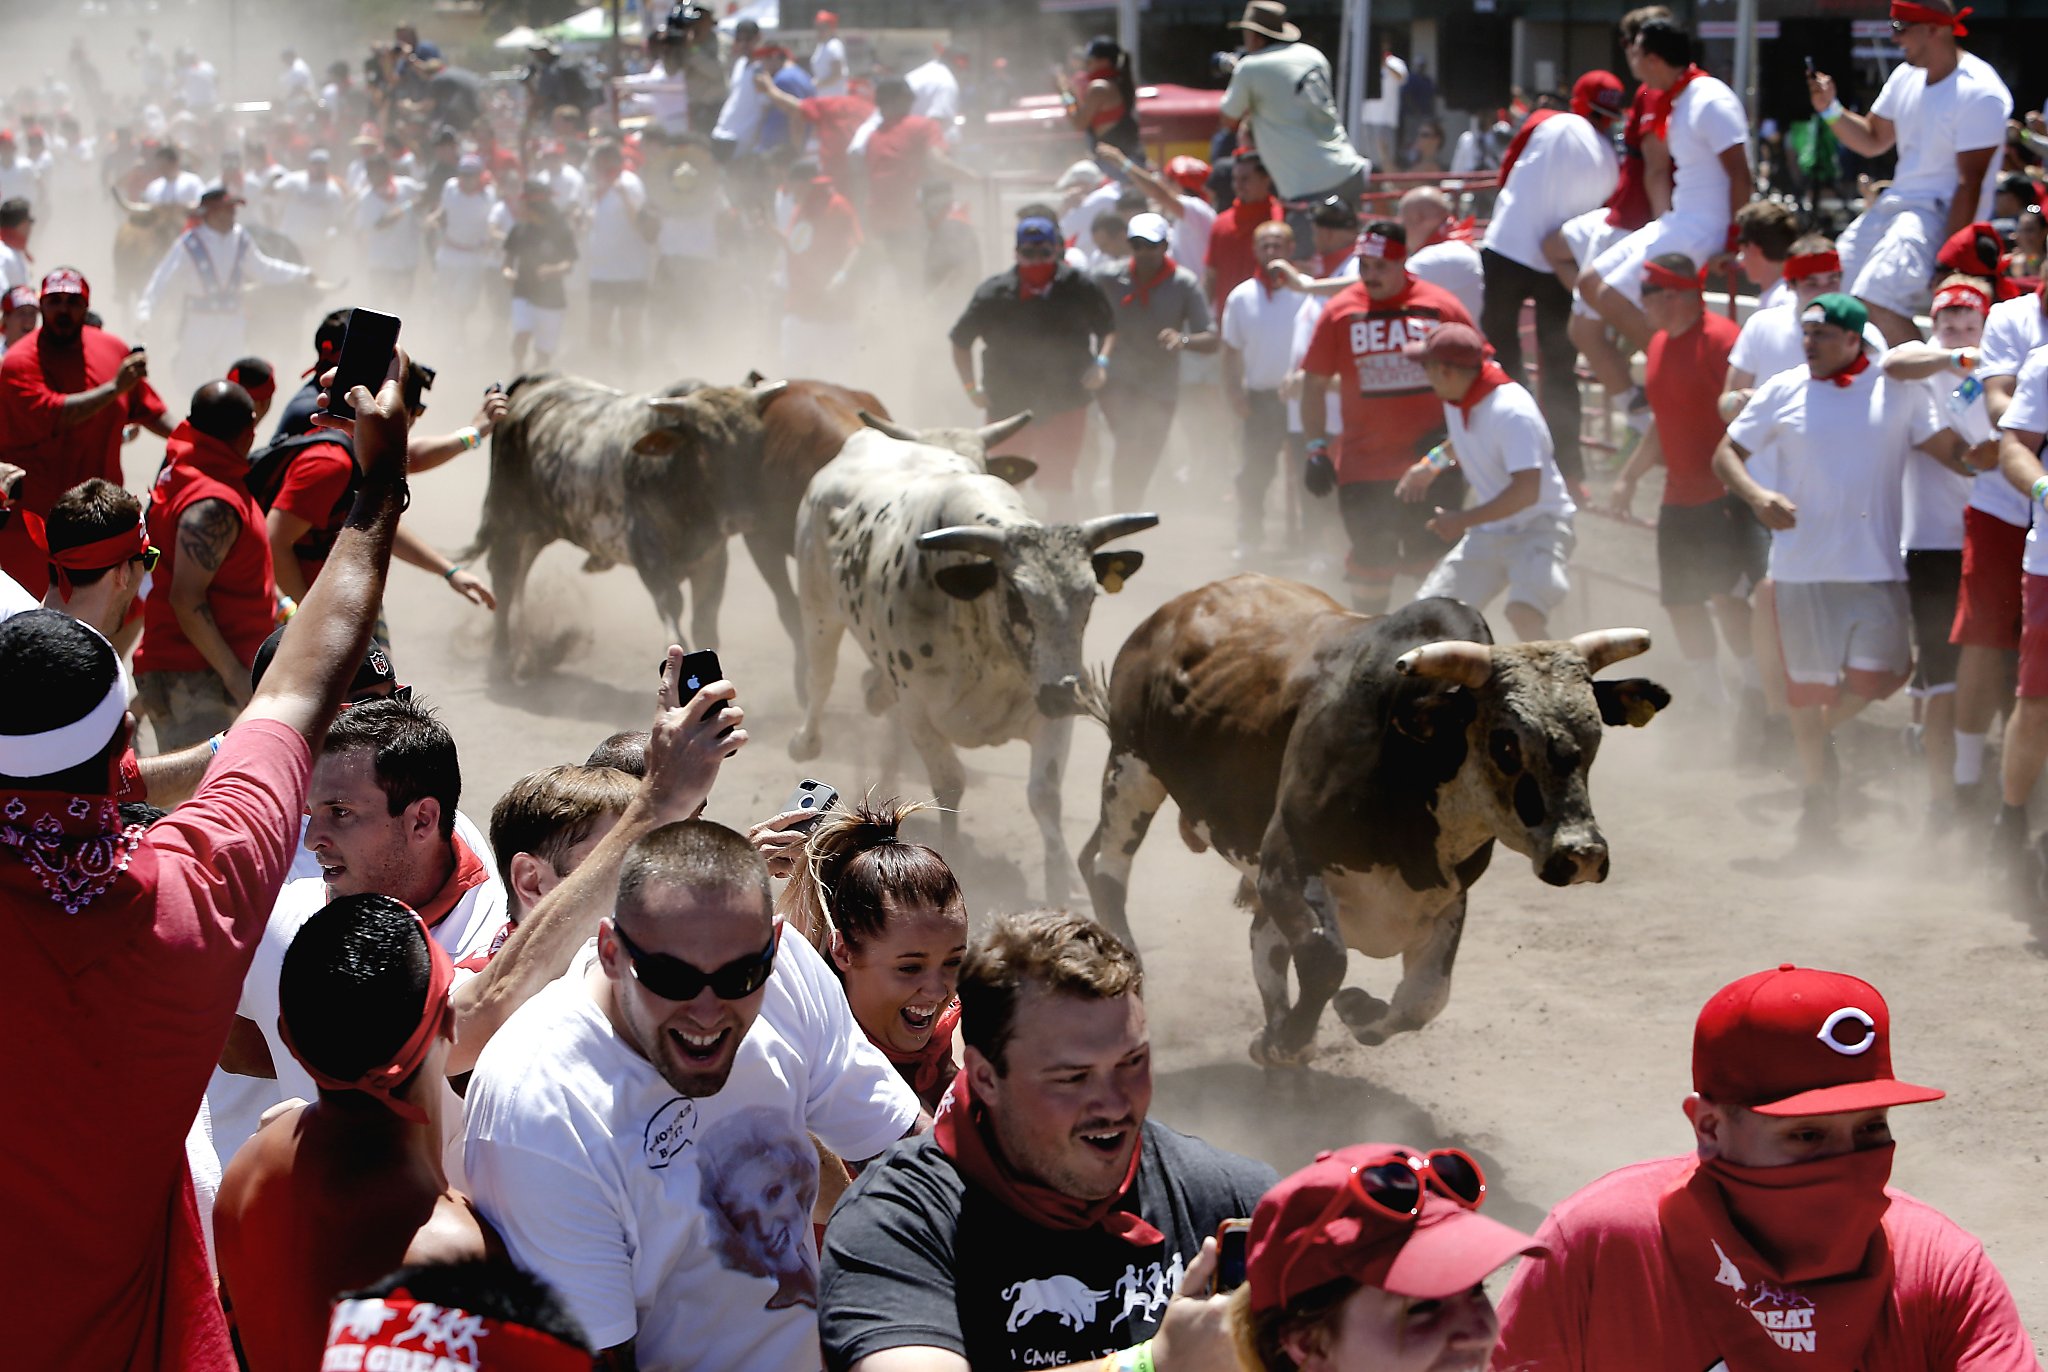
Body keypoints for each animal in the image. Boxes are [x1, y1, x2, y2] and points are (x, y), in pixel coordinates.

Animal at [462, 376, 782, 667]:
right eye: (704, 447)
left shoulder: (712, 559)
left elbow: (705, 623)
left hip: (541, 526)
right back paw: (501, 657)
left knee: (522, 569)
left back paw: (523, 650)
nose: (744, 518)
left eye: (756, 442)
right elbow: (673, 610)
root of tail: (532, 385)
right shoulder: (649, 558)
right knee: (504, 577)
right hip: (507, 517)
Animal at [790, 430, 1163, 901]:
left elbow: (1044, 794)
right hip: (817, 609)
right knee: (820, 675)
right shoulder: (919, 714)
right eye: (1017, 598)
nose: (1065, 691)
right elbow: (950, 784)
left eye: (1089, 596)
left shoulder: (1051, 715)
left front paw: (1059, 881)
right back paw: (806, 739)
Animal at [1073, 573, 1662, 1073]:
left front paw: (1354, 1013)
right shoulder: (1287, 862)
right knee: (1104, 865)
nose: (1582, 853)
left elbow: (1424, 997)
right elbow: (1324, 958)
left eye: (1593, 737)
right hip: (1132, 765)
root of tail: (1176, 609)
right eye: (1507, 743)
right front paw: (1290, 1042)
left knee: (1262, 937)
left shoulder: (1447, 896)